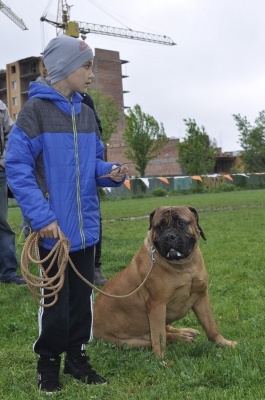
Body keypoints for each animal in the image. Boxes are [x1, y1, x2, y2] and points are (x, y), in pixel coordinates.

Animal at [92, 206, 235, 356]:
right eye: (159, 227)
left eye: (181, 223)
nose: (169, 236)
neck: (183, 266)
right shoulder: (157, 305)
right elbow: (159, 338)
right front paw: (161, 359)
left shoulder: (201, 297)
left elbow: (211, 326)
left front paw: (224, 343)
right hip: (130, 342)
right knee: (164, 336)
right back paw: (183, 337)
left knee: (168, 329)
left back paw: (186, 332)